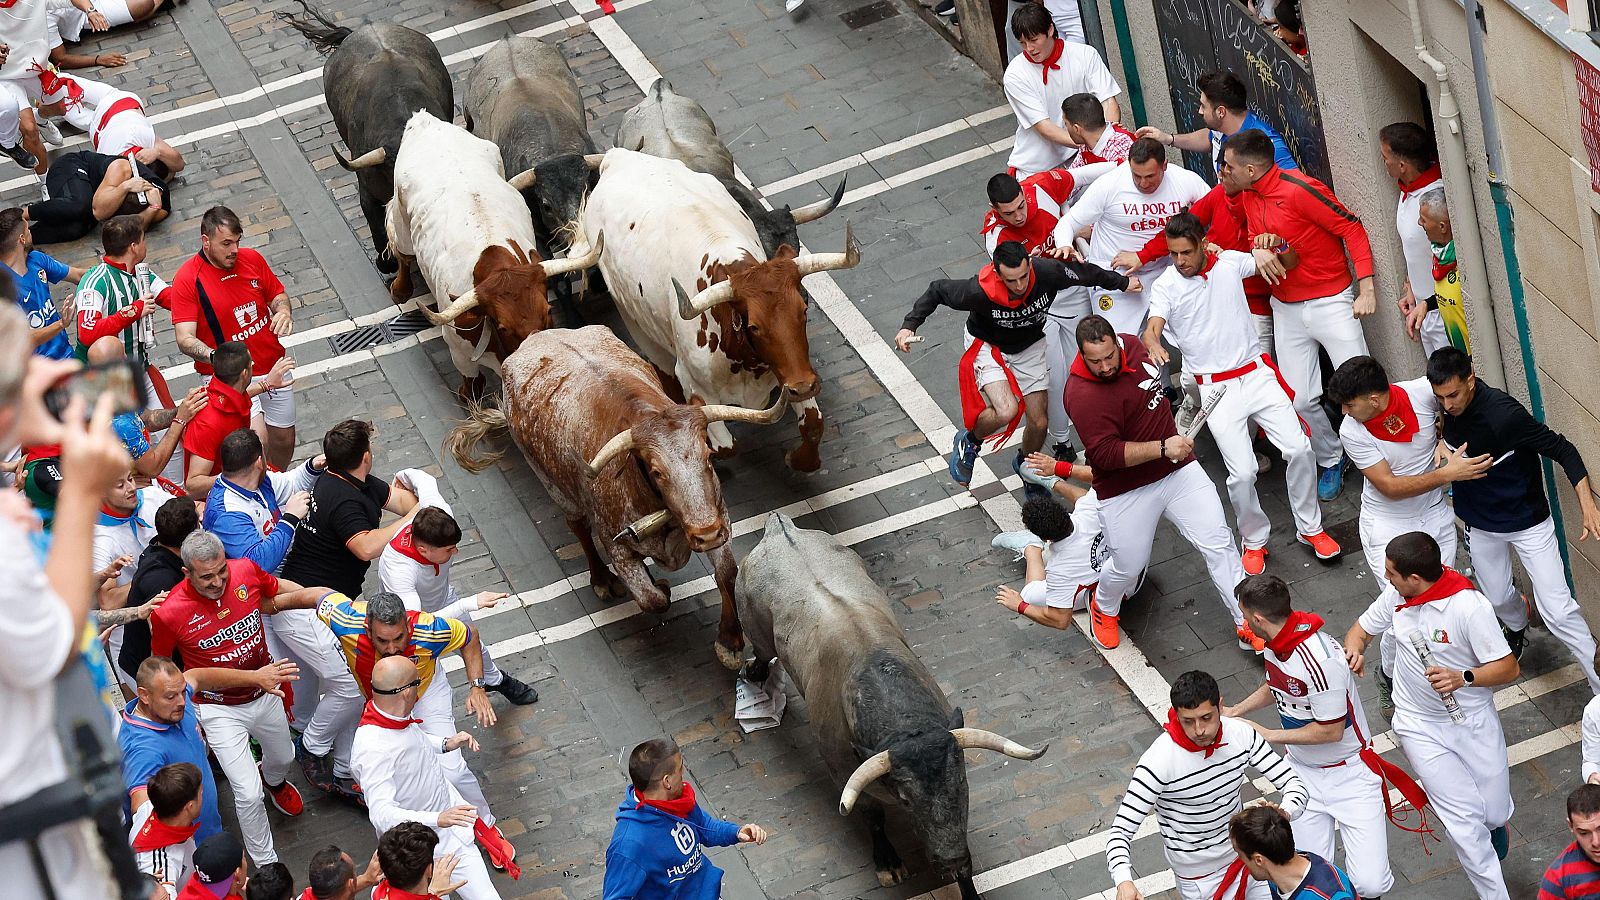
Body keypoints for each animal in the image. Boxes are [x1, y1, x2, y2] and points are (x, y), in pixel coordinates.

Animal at [448, 323, 784, 666]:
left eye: (707, 455)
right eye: (657, 471)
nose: (706, 534)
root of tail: (534, 339)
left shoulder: (719, 516)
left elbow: (726, 574)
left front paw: (729, 642)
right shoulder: (618, 548)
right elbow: (652, 599)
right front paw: (659, 586)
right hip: (554, 485)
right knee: (578, 527)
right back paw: (602, 580)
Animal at [585, 148, 864, 474]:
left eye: (803, 310)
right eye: (754, 326)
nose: (805, 386)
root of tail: (618, 156)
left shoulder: (791, 369)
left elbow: (813, 425)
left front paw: (798, 459)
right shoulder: (695, 386)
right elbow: (725, 445)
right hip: (636, 324)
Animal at [732, 512, 1043, 896]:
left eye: (962, 784)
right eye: (907, 800)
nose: (952, 861)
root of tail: (778, 528)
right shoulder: (843, 772)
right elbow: (873, 816)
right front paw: (888, 863)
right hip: (755, 628)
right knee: (762, 651)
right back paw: (754, 671)